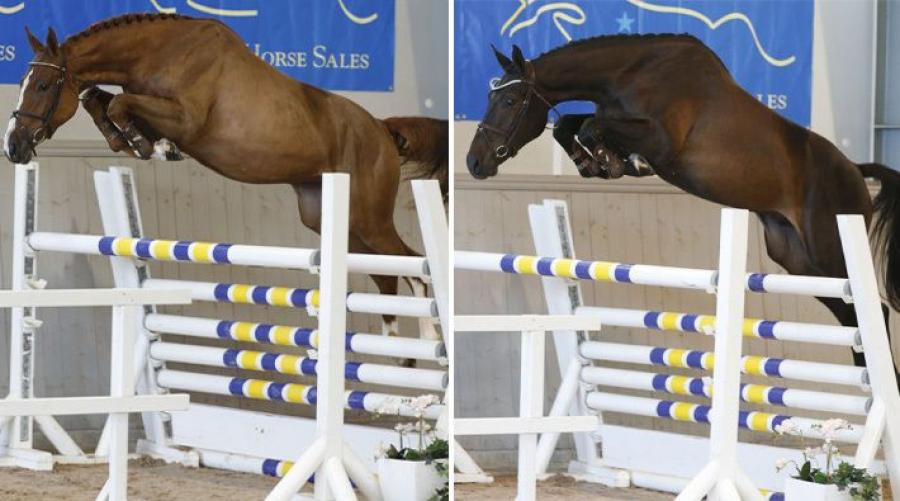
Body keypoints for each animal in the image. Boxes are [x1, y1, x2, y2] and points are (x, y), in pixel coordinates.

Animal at [3, 14, 448, 355]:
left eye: (42, 86)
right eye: (23, 83)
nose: (14, 146)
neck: (160, 52)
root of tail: (382, 129)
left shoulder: (186, 120)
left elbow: (116, 103)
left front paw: (149, 145)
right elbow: (100, 101)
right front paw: (140, 144)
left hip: (370, 217)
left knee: (413, 267)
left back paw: (427, 342)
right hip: (331, 217)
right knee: (385, 274)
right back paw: (394, 349)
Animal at [466, 36, 900, 381]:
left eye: (510, 100)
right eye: (490, 96)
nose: (475, 162)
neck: (633, 73)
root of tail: (855, 170)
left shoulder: (660, 139)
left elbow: (592, 125)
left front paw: (611, 160)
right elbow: (571, 123)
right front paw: (597, 162)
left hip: (829, 251)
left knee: (872, 310)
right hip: (797, 261)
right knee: (852, 316)